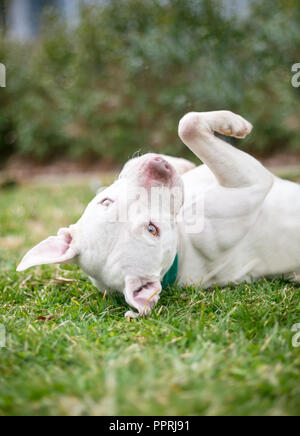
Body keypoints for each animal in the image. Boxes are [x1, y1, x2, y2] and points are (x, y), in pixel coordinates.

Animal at [17, 110, 300, 316]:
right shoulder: (251, 184)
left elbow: (186, 127)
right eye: (153, 230)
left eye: (105, 202)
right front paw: (235, 124)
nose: (157, 170)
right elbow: (188, 125)